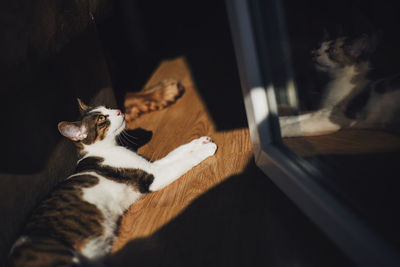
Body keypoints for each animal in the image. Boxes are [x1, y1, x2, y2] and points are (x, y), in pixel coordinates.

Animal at [7, 99, 216, 267]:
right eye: (101, 119)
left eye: (107, 107)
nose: (119, 110)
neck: (106, 149)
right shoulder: (152, 176)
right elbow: (182, 161)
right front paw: (207, 149)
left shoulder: (150, 166)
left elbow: (176, 152)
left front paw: (199, 142)